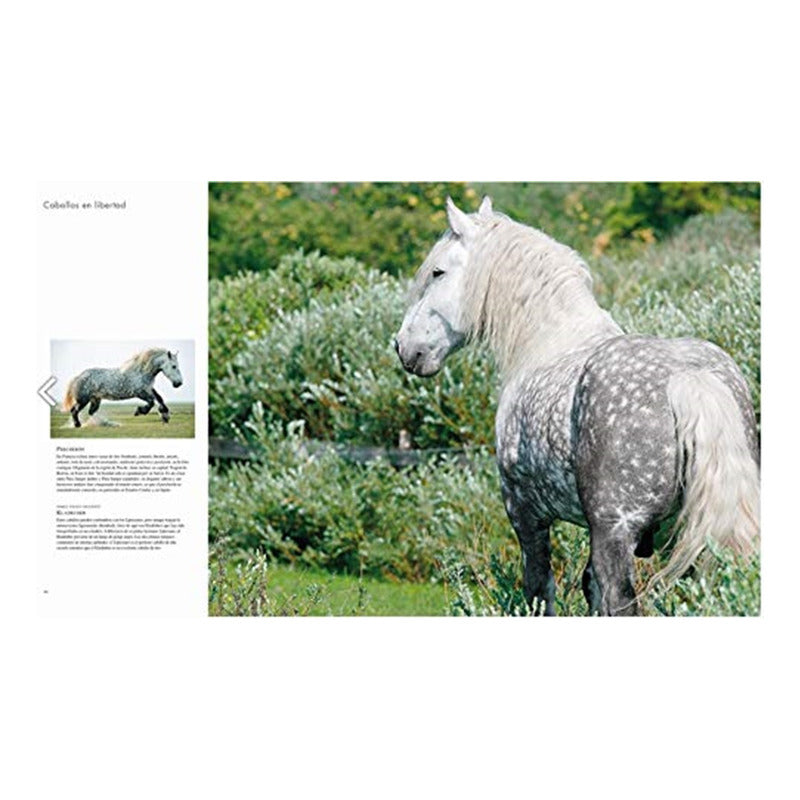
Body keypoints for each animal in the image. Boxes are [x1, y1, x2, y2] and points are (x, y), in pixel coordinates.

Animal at [394, 197, 759, 616]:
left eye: (437, 272)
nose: (404, 347)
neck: (550, 340)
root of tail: (688, 378)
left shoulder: (526, 514)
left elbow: (540, 590)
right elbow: (590, 590)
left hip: (615, 533)